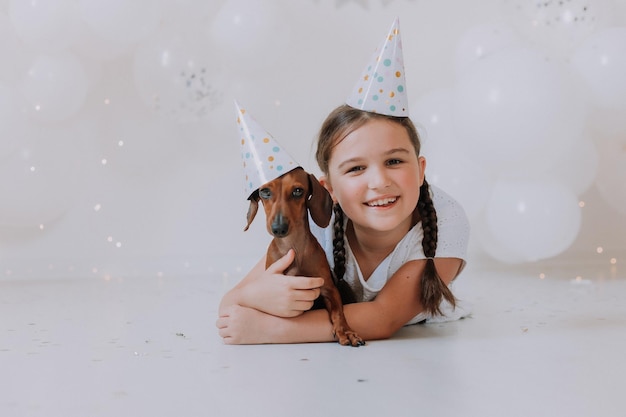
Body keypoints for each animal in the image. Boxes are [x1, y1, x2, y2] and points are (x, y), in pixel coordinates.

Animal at [243, 167, 364, 346]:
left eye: (298, 191)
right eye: (265, 192)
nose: (279, 228)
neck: (293, 247)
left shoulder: (329, 289)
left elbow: (338, 312)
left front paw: (346, 331)